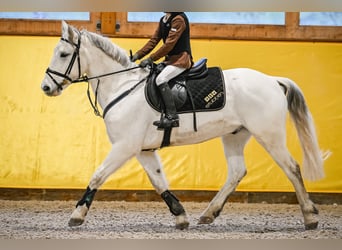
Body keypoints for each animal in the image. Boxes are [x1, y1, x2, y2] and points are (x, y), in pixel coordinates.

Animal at [41, 21, 324, 230]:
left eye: (64, 54)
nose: (46, 87)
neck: (122, 86)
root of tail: (273, 80)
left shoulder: (124, 146)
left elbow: (97, 175)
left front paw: (77, 215)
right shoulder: (142, 150)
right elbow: (159, 182)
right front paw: (180, 216)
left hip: (269, 135)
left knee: (292, 168)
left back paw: (310, 217)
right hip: (235, 135)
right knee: (236, 172)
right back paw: (208, 214)